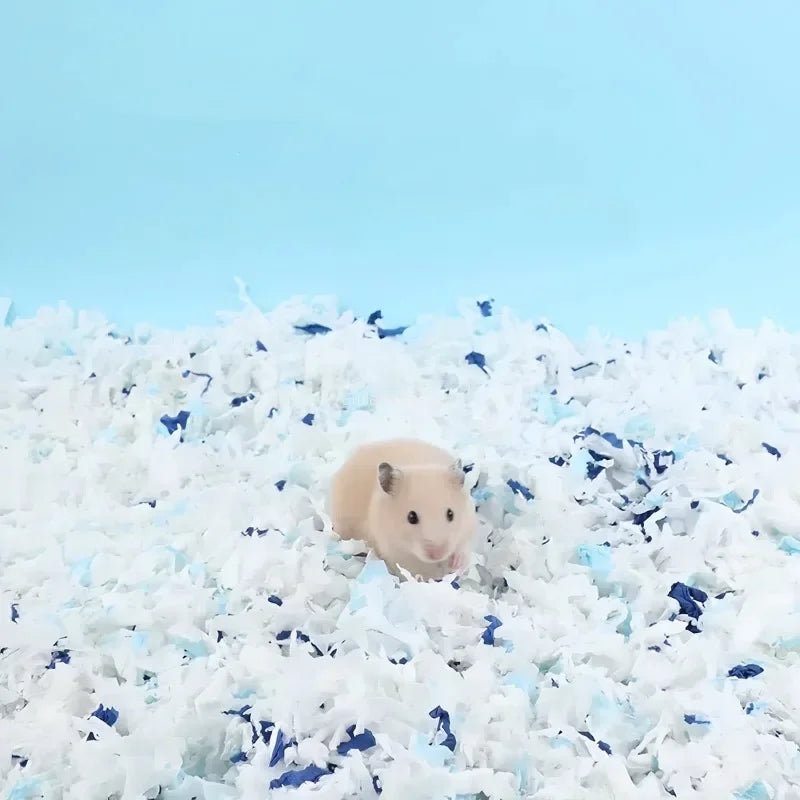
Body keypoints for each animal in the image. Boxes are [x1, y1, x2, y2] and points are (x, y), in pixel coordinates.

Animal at [328, 438, 476, 580]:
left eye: (451, 514)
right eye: (411, 517)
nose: (437, 555)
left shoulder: (467, 527)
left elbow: (463, 549)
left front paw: (455, 565)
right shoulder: (396, 553)